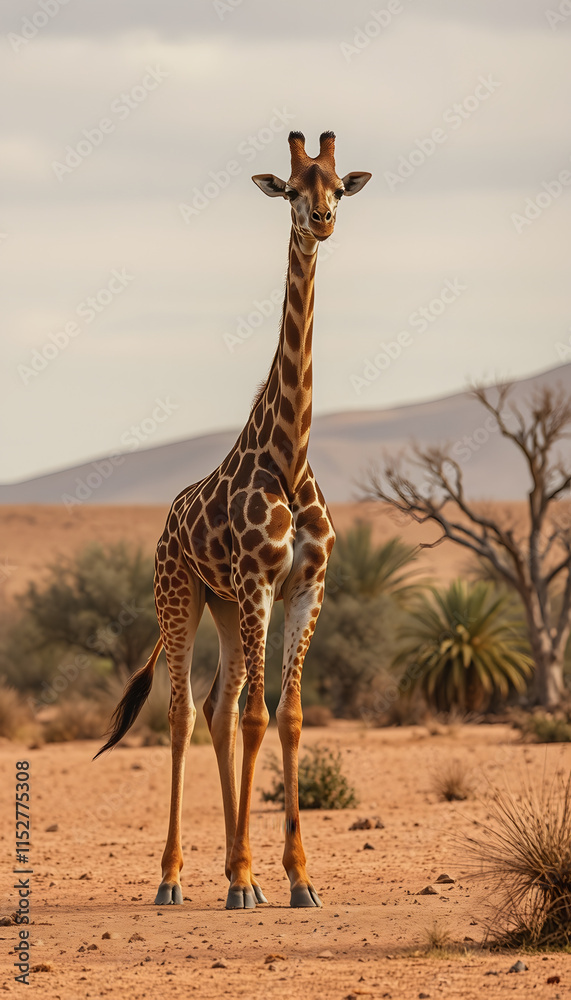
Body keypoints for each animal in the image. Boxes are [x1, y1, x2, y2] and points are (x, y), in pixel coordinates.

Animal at [96, 130, 371, 909]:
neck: (289, 456)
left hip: (221, 604)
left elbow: (289, 716)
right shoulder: (257, 581)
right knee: (185, 712)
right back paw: (175, 878)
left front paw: (297, 880)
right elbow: (256, 717)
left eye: (337, 187)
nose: (321, 222)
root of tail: (166, 523)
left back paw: (229, 874)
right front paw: (252, 876)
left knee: (219, 705)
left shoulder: (306, 586)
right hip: (181, 595)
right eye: (292, 190)